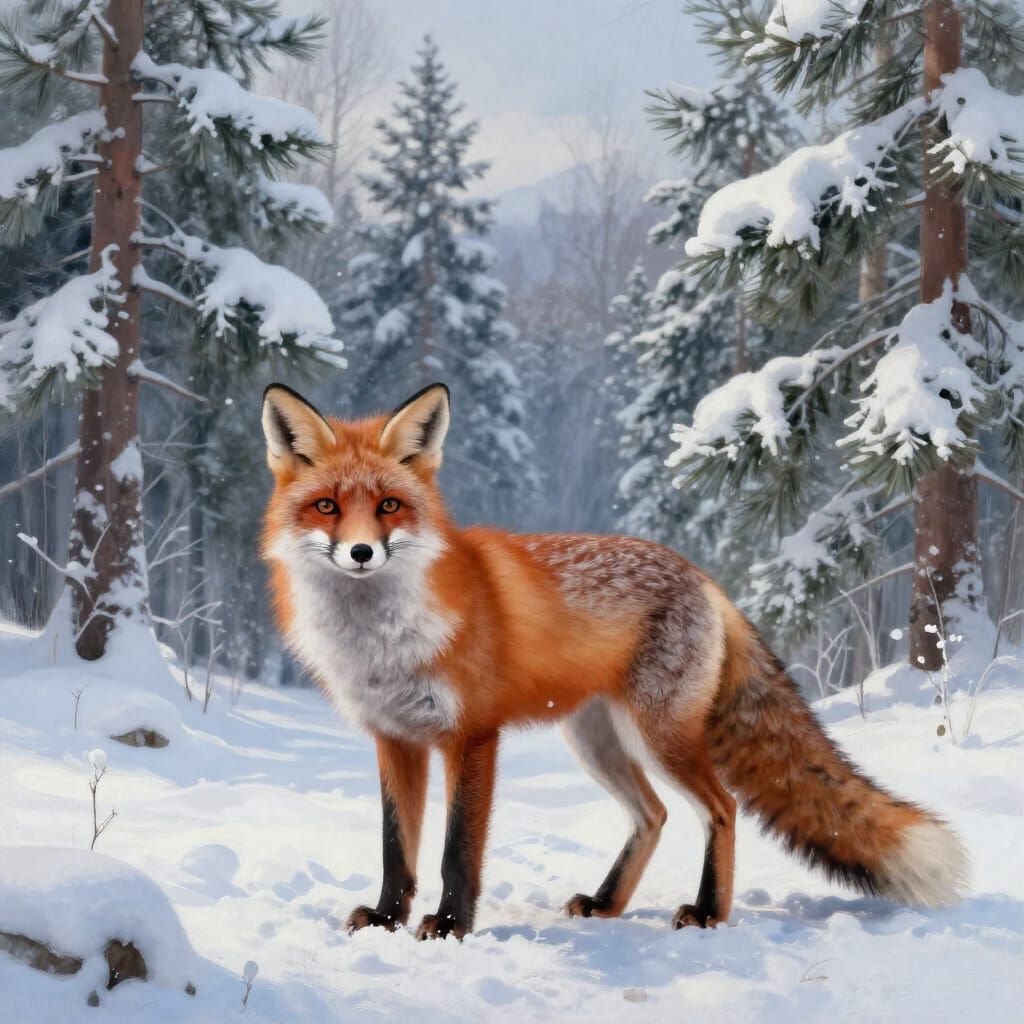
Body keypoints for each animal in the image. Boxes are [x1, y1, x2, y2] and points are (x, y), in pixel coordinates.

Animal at [261, 381, 968, 940]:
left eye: (389, 506)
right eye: (327, 506)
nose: (361, 553)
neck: (382, 642)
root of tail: (705, 578)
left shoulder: (472, 736)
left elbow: (457, 850)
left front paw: (451, 926)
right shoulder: (395, 739)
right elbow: (395, 850)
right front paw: (386, 921)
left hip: (660, 735)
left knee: (721, 807)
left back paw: (709, 913)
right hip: (596, 741)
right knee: (653, 815)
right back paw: (606, 904)